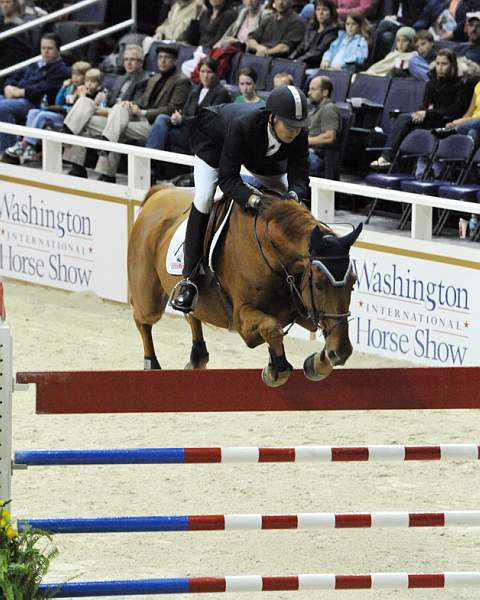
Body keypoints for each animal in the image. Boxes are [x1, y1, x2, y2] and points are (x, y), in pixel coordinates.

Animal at [127, 185, 360, 386]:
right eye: (319, 285)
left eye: (353, 282)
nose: (341, 352)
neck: (274, 256)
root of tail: (160, 192)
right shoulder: (242, 319)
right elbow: (271, 327)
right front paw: (276, 370)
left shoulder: (302, 310)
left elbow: (293, 327)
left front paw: (317, 363)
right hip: (148, 296)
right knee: (142, 320)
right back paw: (152, 365)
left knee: (193, 315)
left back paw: (196, 358)